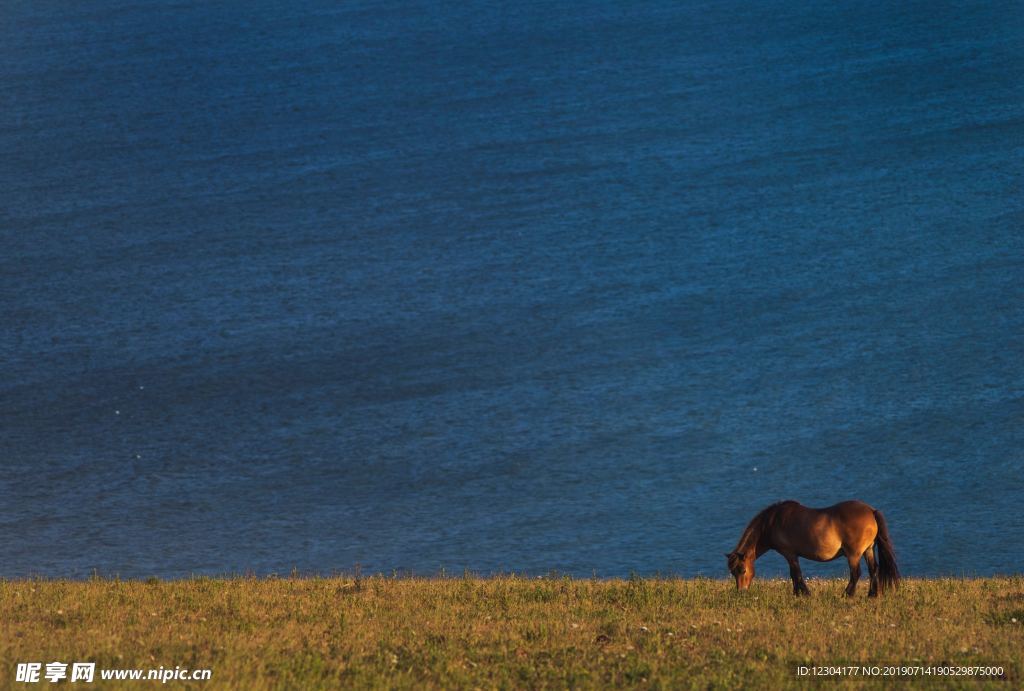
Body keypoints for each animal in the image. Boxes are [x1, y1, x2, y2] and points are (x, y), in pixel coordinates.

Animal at [724, 499, 901, 597]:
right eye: (733, 572)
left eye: (743, 570)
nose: (741, 591)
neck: (773, 522)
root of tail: (871, 511)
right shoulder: (791, 555)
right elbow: (794, 575)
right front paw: (797, 593)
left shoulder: (790, 553)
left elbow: (796, 574)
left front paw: (803, 594)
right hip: (868, 550)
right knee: (873, 569)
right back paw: (872, 595)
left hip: (854, 554)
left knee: (856, 573)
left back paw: (847, 595)